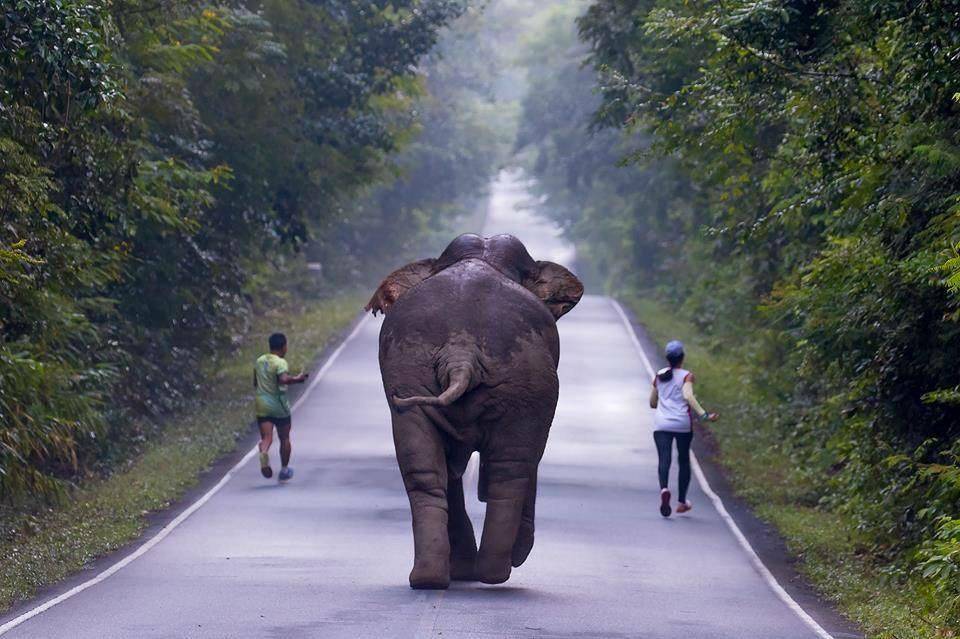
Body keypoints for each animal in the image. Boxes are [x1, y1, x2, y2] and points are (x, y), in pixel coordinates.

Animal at [364, 234, 580, 592]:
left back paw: (431, 579)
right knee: (513, 468)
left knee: (424, 469)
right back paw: (496, 571)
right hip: (526, 383)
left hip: (410, 376)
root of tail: (460, 352)